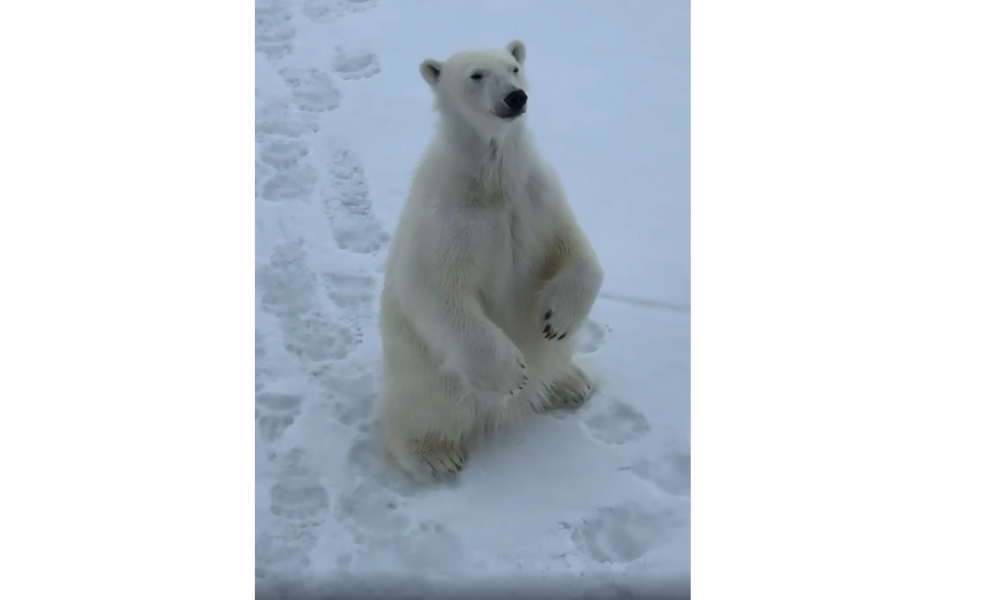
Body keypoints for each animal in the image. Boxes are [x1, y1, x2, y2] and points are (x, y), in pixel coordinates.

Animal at [377, 40, 604, 481]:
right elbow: (433, 289)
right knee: (427, 409)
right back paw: (434, 455)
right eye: (476, 75)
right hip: (426, 372)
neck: (491, 182)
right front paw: (511, 372)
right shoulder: (446, 221)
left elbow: (576, 250)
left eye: (514, 67)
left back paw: (571, 383)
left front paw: (558, 319)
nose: (516, 97)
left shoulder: (537, 196)